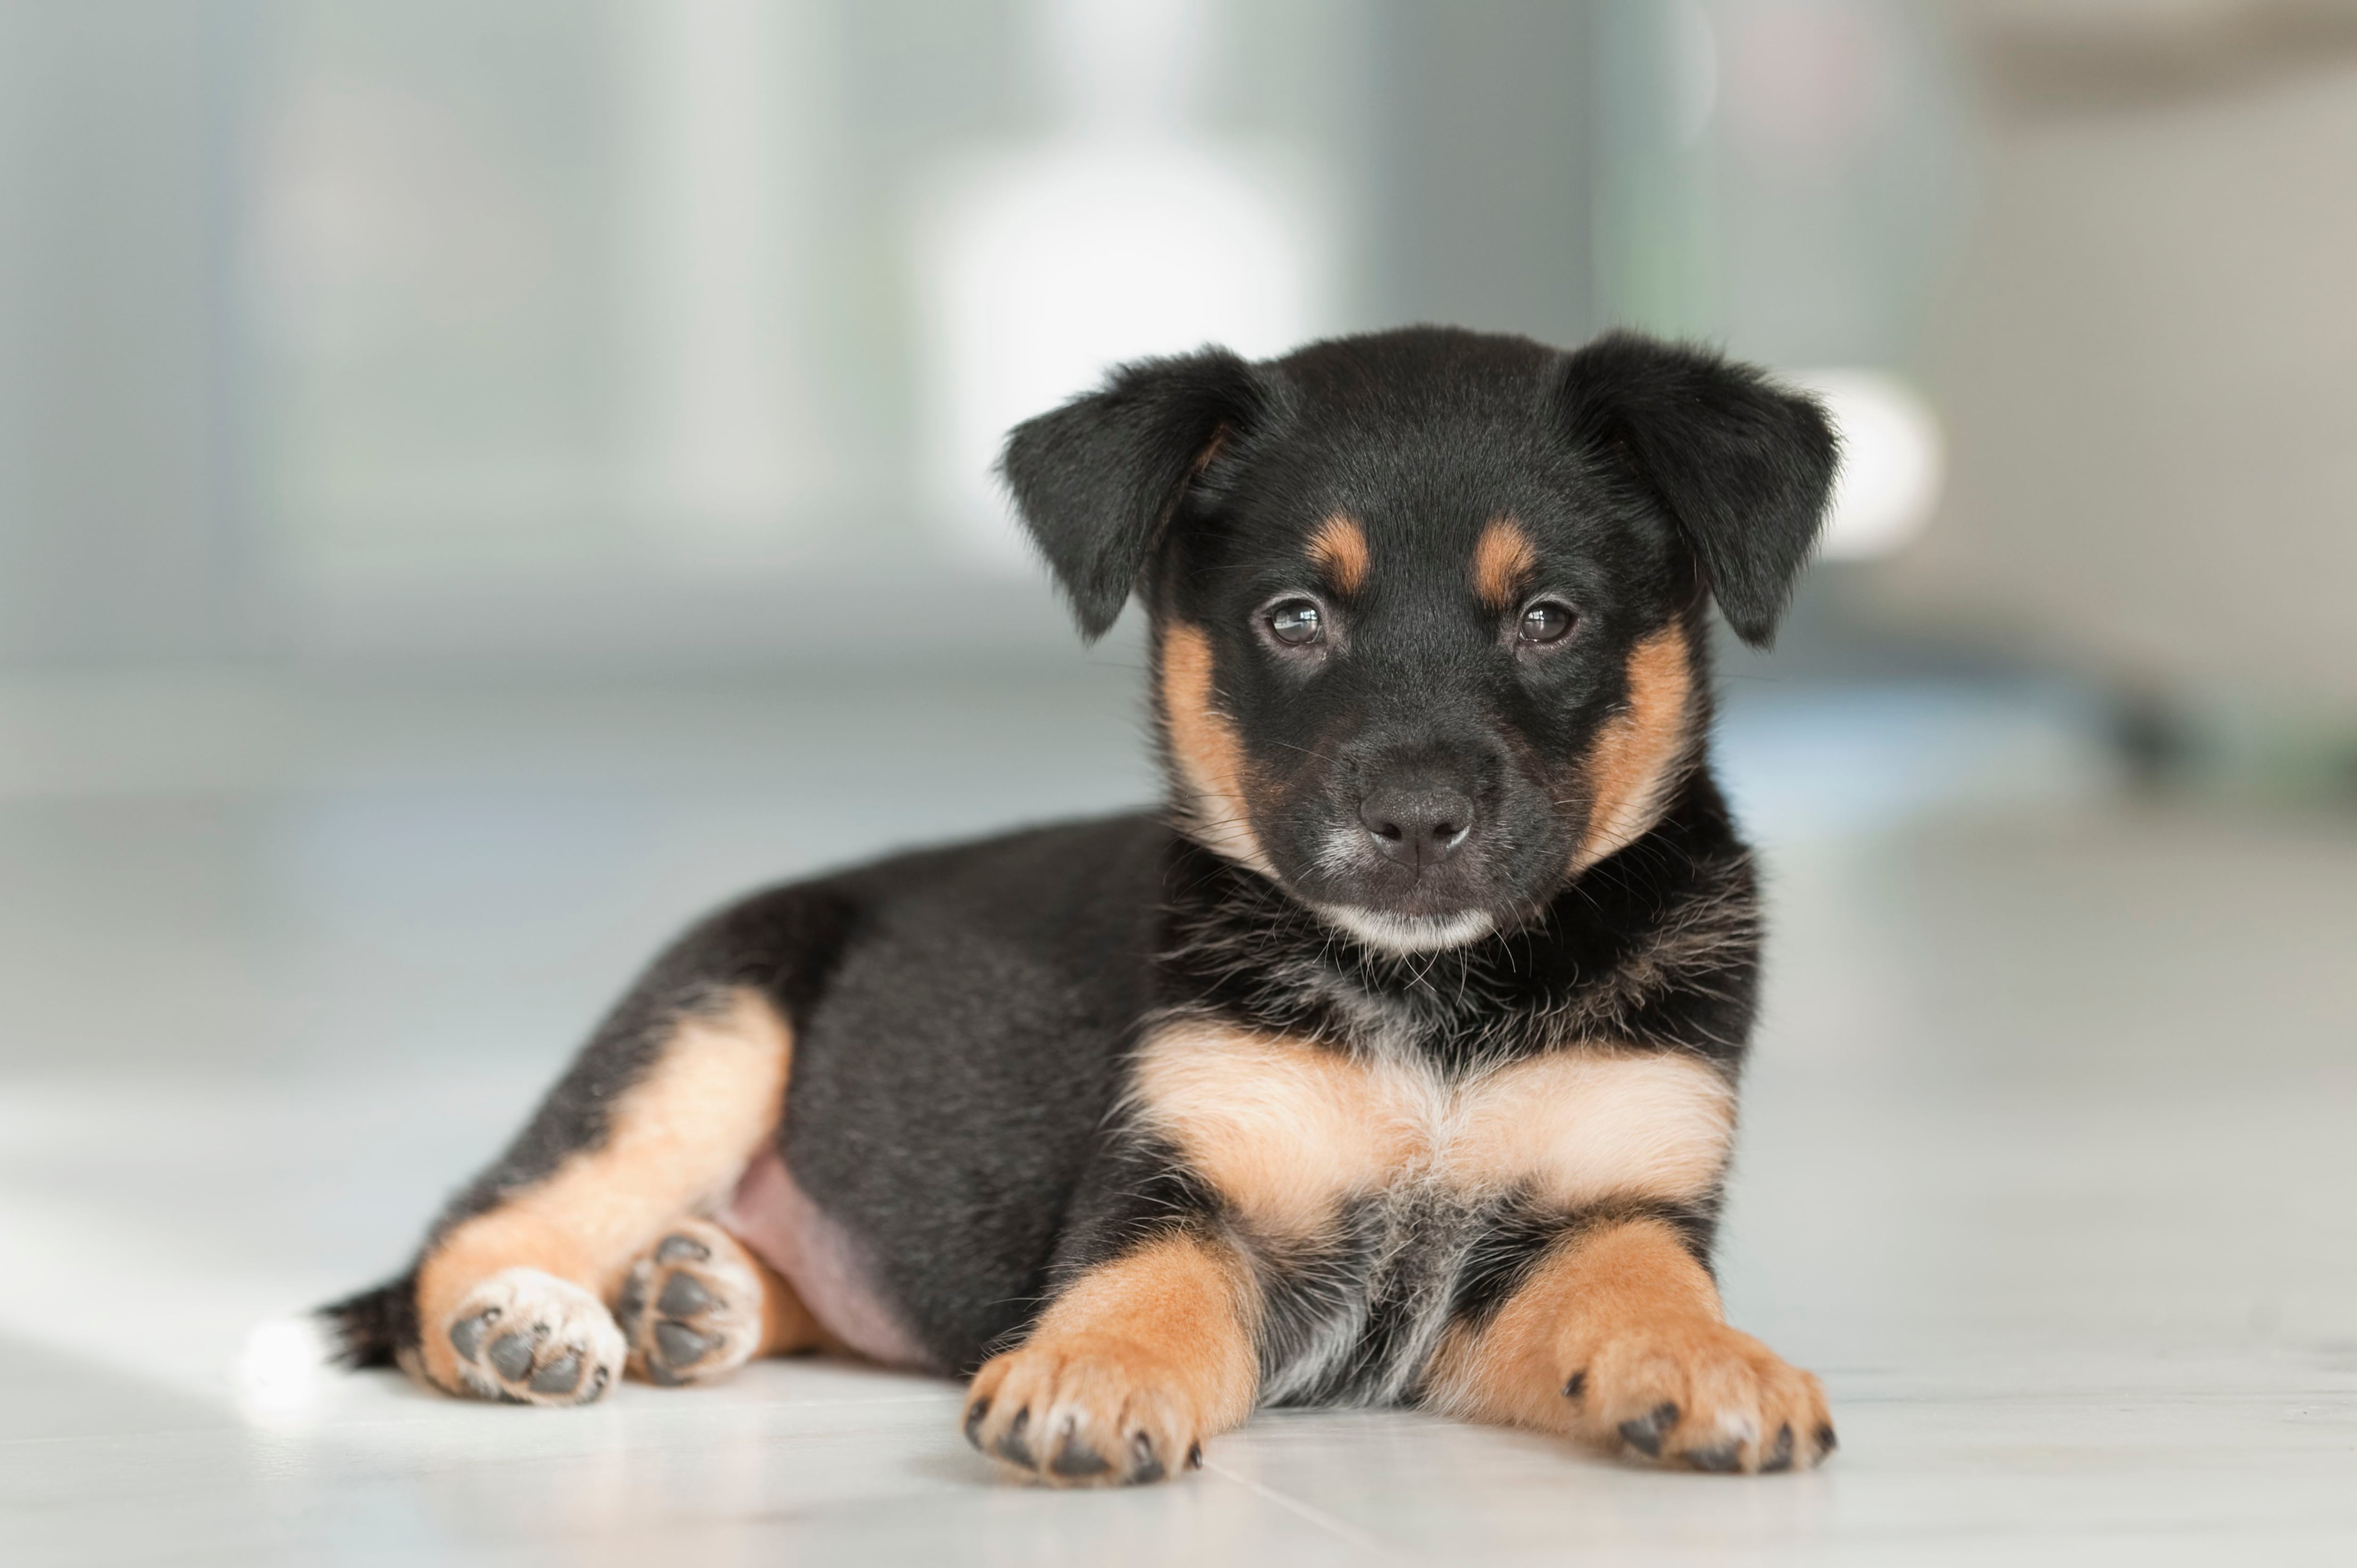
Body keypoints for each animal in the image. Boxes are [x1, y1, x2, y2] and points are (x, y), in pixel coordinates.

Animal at [328, 328, 1838, 1480]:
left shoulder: (1603, 1210)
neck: (1432, 999)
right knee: (481, 1222)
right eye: (1293, 618)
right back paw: (526, 1320)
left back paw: (695, 1292)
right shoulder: (1174, 1173)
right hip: (708, 1029)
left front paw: (1719, 1366)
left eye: (1550, 618)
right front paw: (1093, 1376)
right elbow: (1146, 1288)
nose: (1414, 823)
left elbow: (1643, 1290)